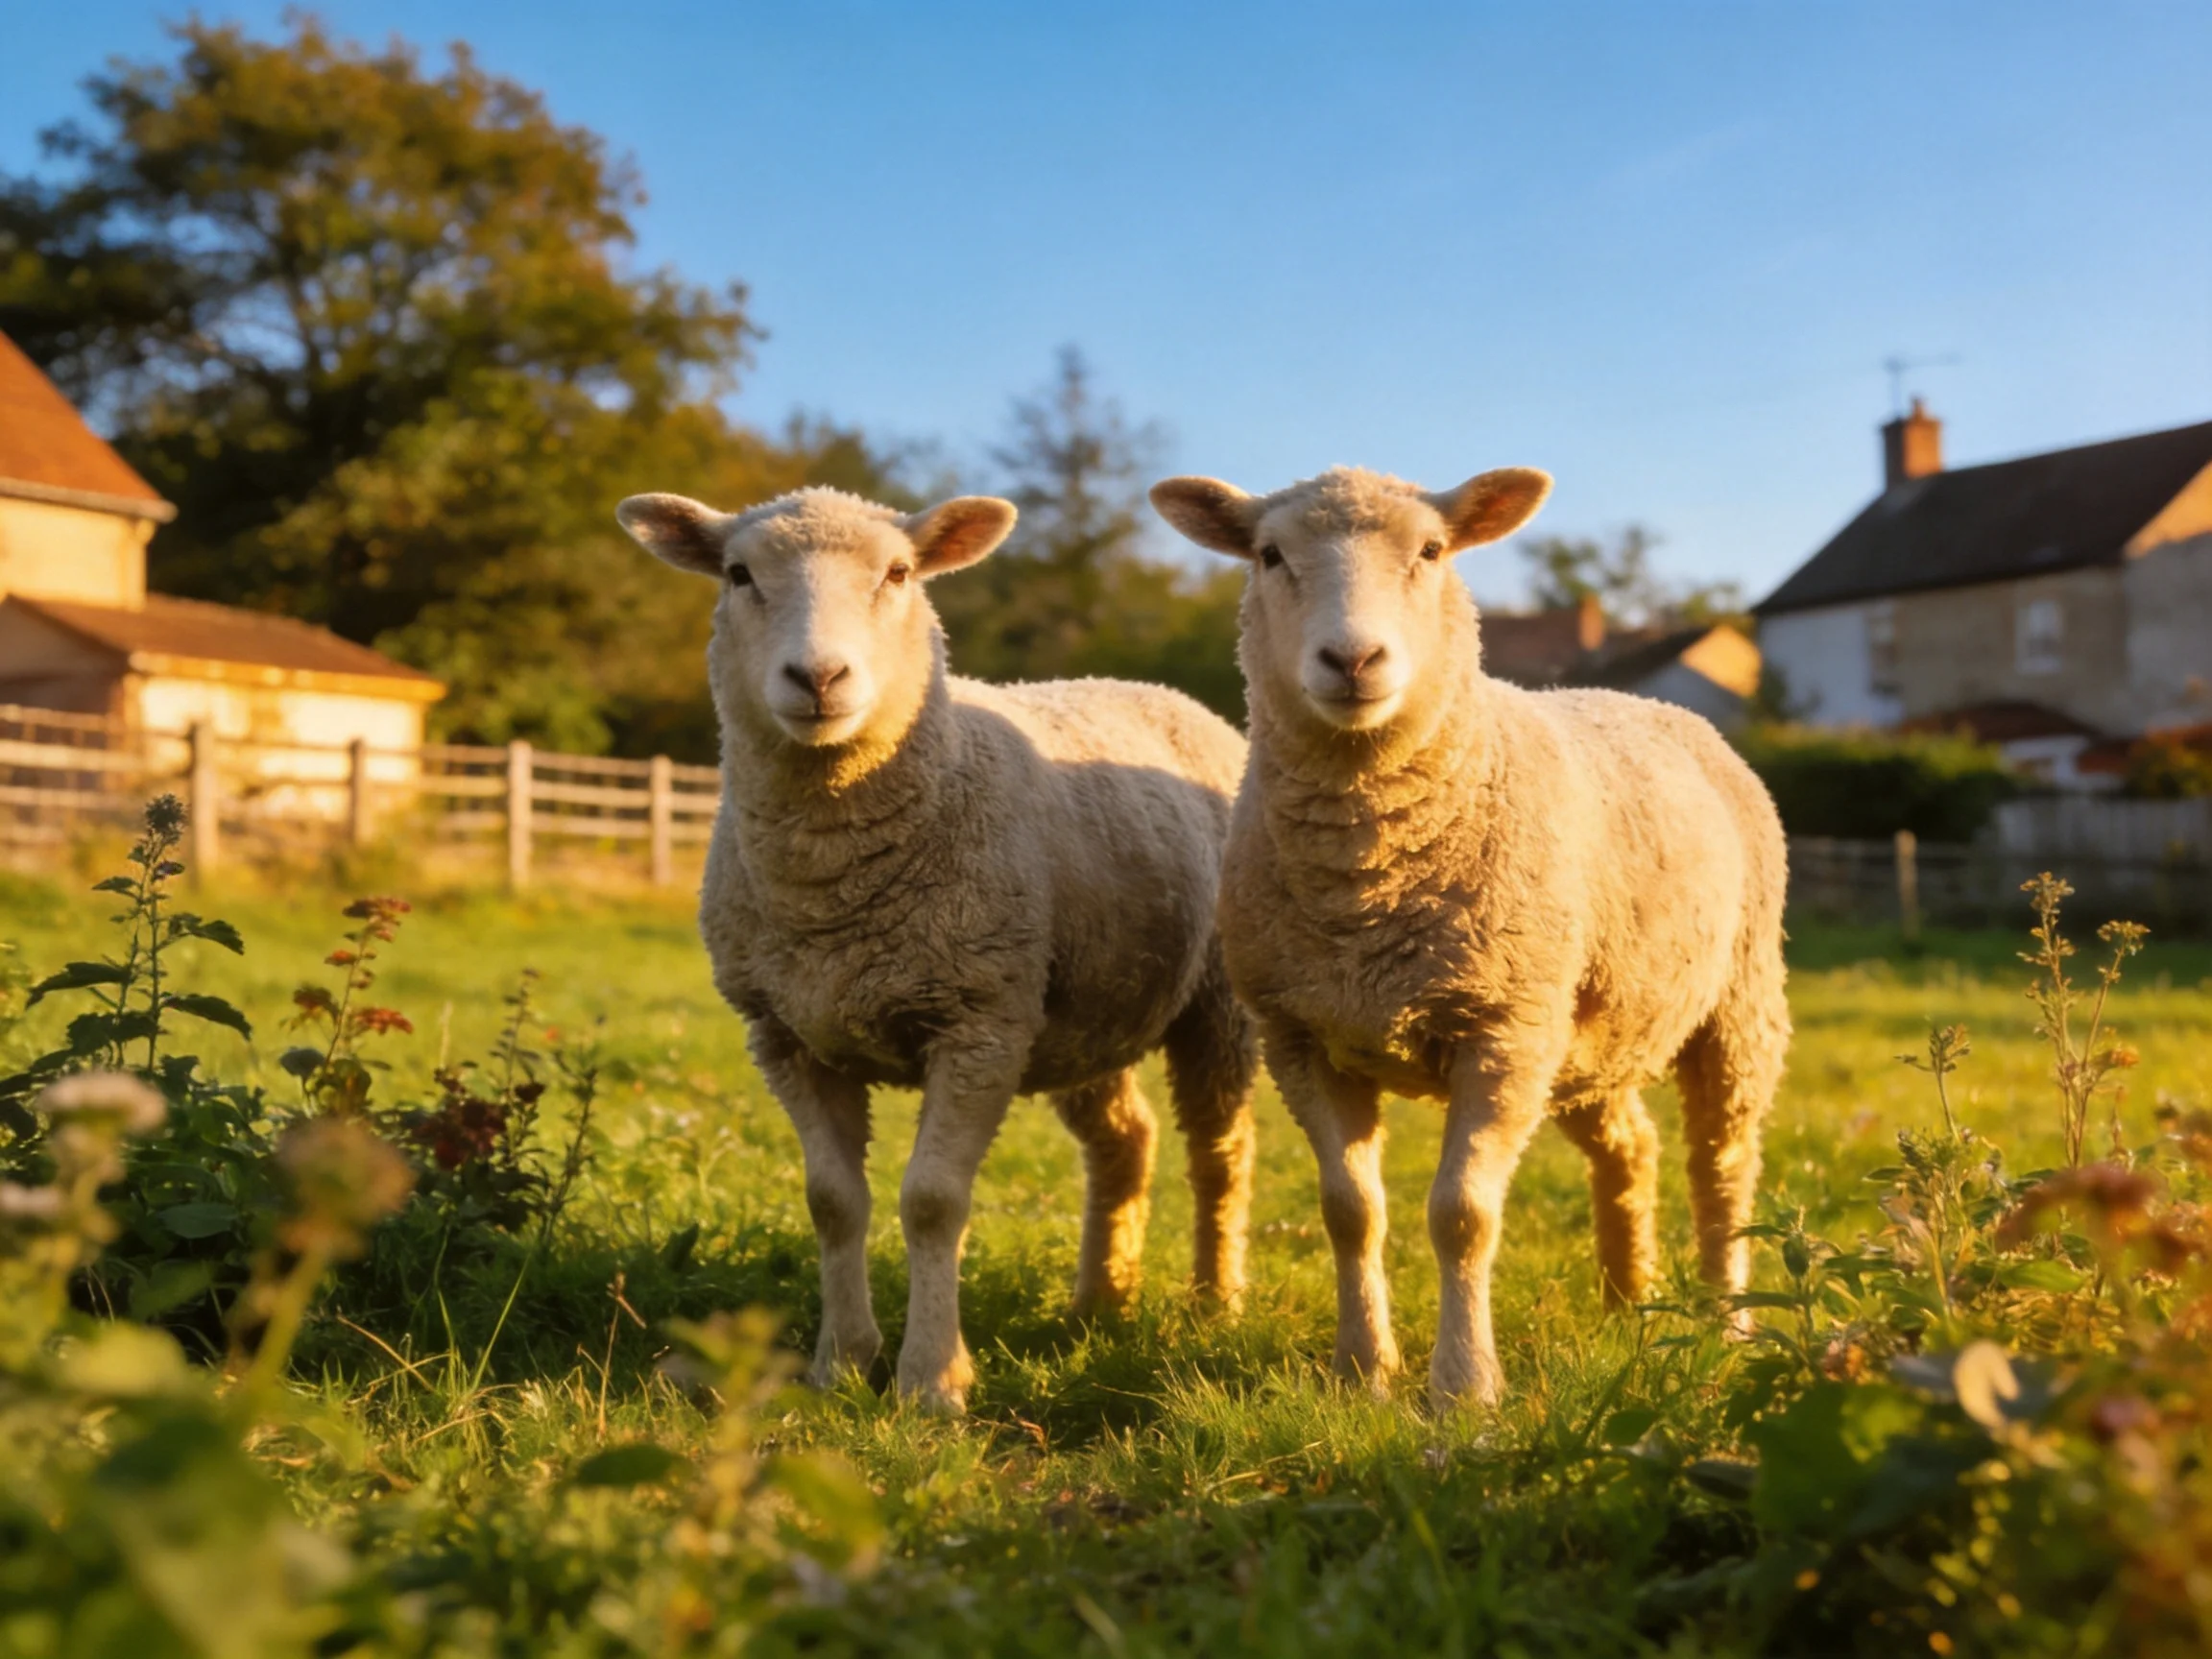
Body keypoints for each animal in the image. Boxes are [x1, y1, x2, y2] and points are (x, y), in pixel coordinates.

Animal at [616, 485, 1258, 1412]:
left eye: (898, 574)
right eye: (738, 574)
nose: (819, 678)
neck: (832, 893)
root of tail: (1158, 691)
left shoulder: (977, 1022)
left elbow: (931, 1200)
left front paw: (930, 1382)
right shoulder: (786, 1034)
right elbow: (832, 1202)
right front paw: (841, 1363)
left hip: (1213, 1005)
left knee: (1220, 1155)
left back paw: (1213, 1305)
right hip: (1082, 1012)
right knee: (1125, 1141)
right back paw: (1100, 1303)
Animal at [1151, 465, 1790, 1411]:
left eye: (1431, 550)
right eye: (1269, 555)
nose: (1353, 661)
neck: (1369, 886)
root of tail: (1652, 703)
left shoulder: (1501, 1031)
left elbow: (1462, 1215)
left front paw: (1463, 1387)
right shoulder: (1303, 1037)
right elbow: (1350, 1211)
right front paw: (1361, 1372)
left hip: (1735, 1001)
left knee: (1723, 1164)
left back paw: (1727, 1322)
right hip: (1584, 1031)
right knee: (1631, 1148)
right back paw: (1626, 1303)